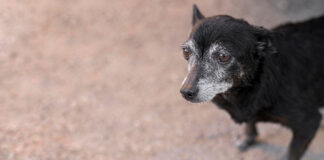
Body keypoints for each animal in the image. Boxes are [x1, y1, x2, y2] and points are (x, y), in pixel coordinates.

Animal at [181, 4, 322, 159]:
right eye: (186, 52)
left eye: (223, 56)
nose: (186, 92)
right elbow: (250, 123)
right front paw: (247, 138)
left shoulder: (308, 123)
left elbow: (291, 153)